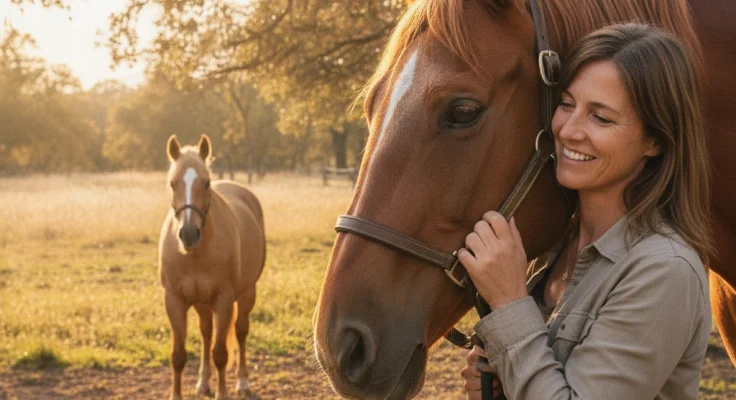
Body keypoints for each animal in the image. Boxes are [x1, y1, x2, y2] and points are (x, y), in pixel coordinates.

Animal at [159, 134, 266, 400]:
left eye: (206, 183)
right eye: (172, 183)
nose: (188, 234)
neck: (195, 256)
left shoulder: (224, 300)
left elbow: (220, 353)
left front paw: (223, 393)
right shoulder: (174, 301)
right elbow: (178, 355)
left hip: (247, 294)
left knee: (240, 331)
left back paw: (242, 382)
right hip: (201, 303)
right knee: (206, 333)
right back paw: (203, 382)